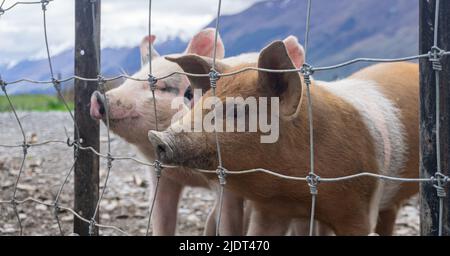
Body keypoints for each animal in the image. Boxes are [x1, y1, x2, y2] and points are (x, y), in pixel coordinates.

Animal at [149, 40, 420, 236]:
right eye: (200, 102)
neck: (294, 192)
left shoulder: (359, 208)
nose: (156, 137)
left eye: (236, 110)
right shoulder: (270, 210)